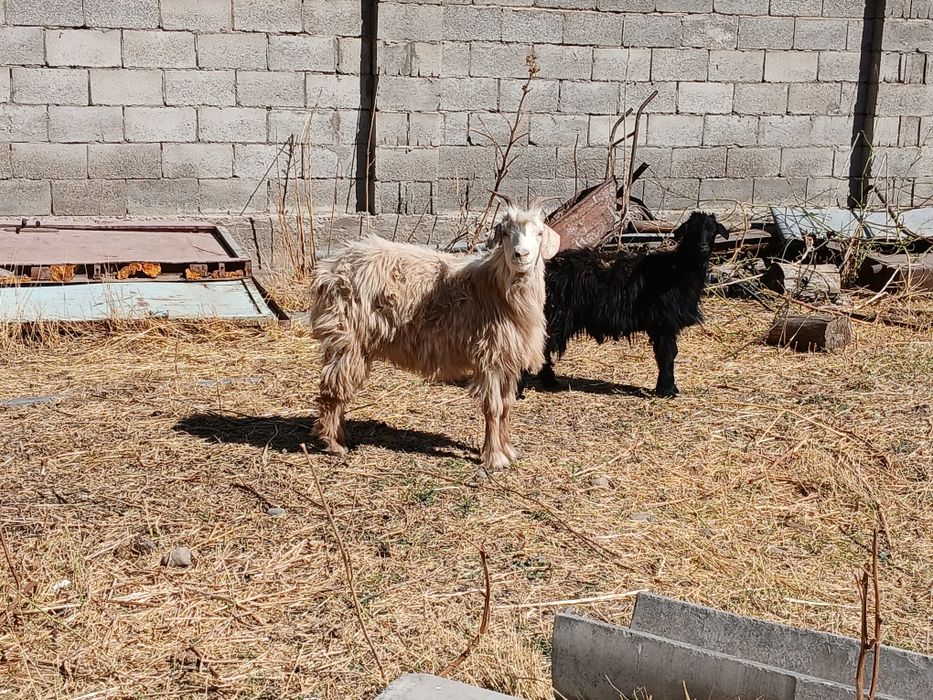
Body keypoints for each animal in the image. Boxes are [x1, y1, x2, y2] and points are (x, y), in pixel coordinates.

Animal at [310, 196, 560, 471]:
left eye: (539, 233)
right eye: (505, 233)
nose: (521, 254)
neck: (494, 289)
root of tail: (328, 269)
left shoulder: (508, 359)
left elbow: (506, 406)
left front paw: (508, 450)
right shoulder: (490, 357)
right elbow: (493, 408)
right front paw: (494, 457)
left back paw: (341, 438)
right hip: (345, 338)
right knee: (333, 390)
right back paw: (334, 445)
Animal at [519, 211, 728, 398]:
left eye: (712, 230)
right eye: (691, 231)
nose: (702, 248)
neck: (677, 271)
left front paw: (669, 388)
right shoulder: (664, 323)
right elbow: (667, 355)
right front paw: (667, 391)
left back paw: (549, 381)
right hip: (555, 317)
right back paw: (521, 390)